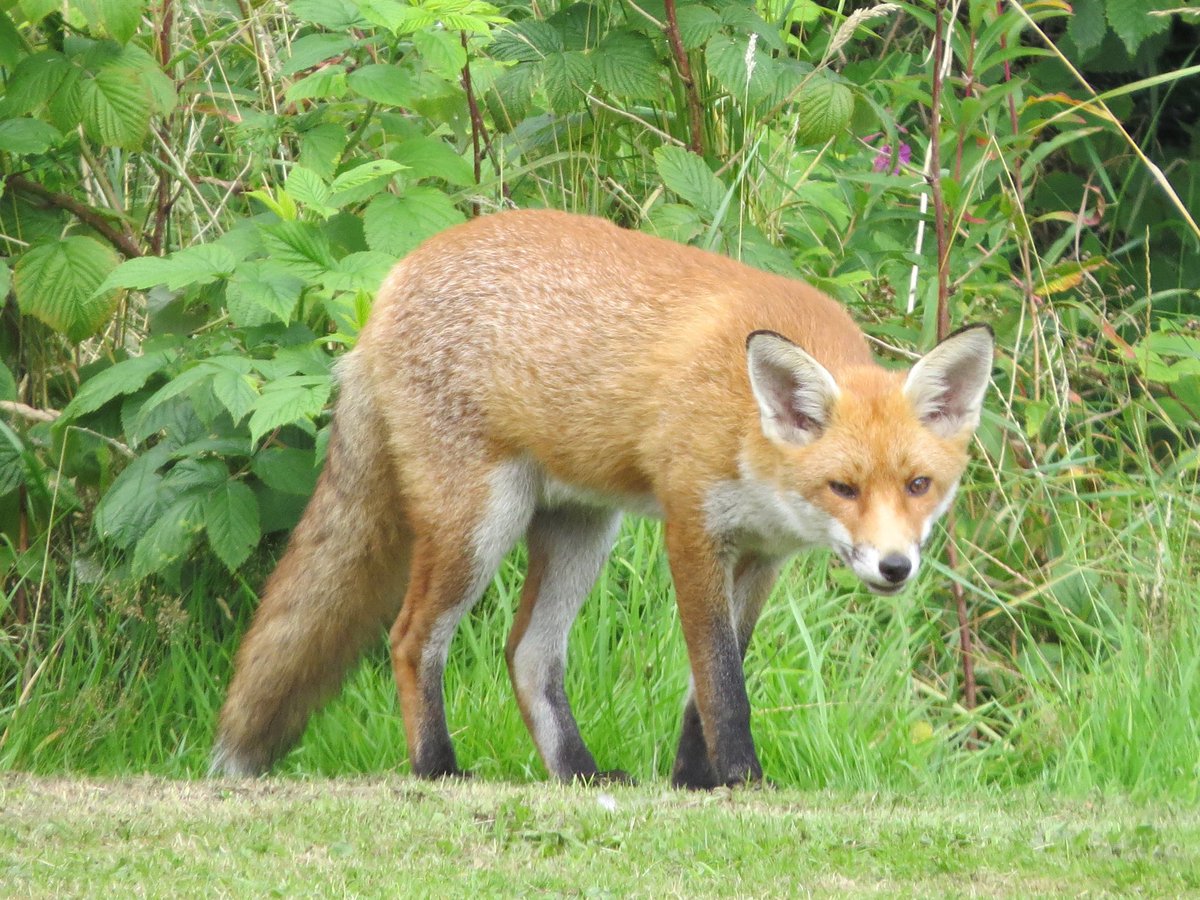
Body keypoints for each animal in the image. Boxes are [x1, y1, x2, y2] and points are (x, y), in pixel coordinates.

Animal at [213, 210, 993, 787]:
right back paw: (438, 767)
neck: (745, 420)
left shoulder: (763, 556)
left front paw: (693, 780)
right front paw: (741, 777)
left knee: (527, 655)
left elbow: (705, 686)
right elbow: (721, 679)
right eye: (844, 488)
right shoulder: (693, 529)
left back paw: (577, 772)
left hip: (583, 531)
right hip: (480, 524)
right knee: (411, 639)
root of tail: (396, 276)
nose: (894, 568)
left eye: (919, 486)